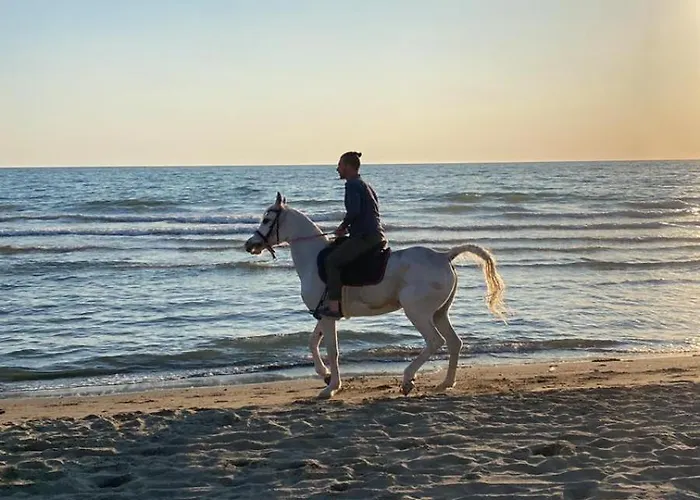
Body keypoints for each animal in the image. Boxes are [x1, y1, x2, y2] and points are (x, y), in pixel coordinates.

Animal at [244, 192, 506, 399]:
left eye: (267, 218)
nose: (250, 245)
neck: (313, 260)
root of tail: (444, 256)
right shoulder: (326, 314)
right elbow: (312, 342)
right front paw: (325, 375)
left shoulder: (327, 317)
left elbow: (332, 350)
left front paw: (331, 387)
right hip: (440, 313)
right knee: (454, 342)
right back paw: (446, 383)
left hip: (417, 312)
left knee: (435, 341)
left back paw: (408, 380)